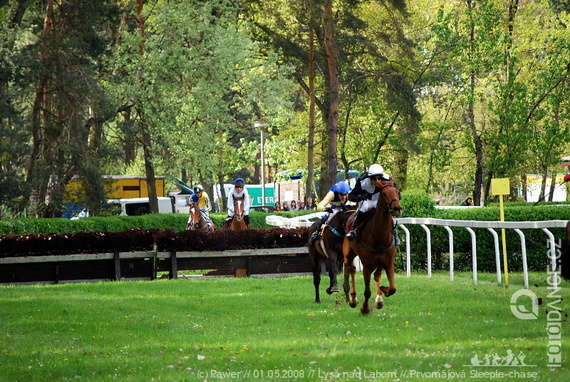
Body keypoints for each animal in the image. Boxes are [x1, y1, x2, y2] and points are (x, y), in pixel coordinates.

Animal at [340, 179, 402, 314]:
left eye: (397, 192)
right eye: (384, 193)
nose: (397, 208)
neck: (379, 237)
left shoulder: (388, 262)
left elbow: (393, 288)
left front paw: (383, 291)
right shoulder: (367, 265)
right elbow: (367, 292)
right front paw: (365, 308)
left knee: (376, 275)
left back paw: (378, 298)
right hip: (348, 254)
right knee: (352, 269)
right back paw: (353, 299)